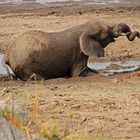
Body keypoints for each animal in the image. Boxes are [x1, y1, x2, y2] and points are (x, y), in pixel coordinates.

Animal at [1, 20, 139, 80]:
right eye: (107, 31)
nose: (135, 34)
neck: (84, 28)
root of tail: (7, 54)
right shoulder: (79, 53)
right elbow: (78, 73)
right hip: (24, 63)